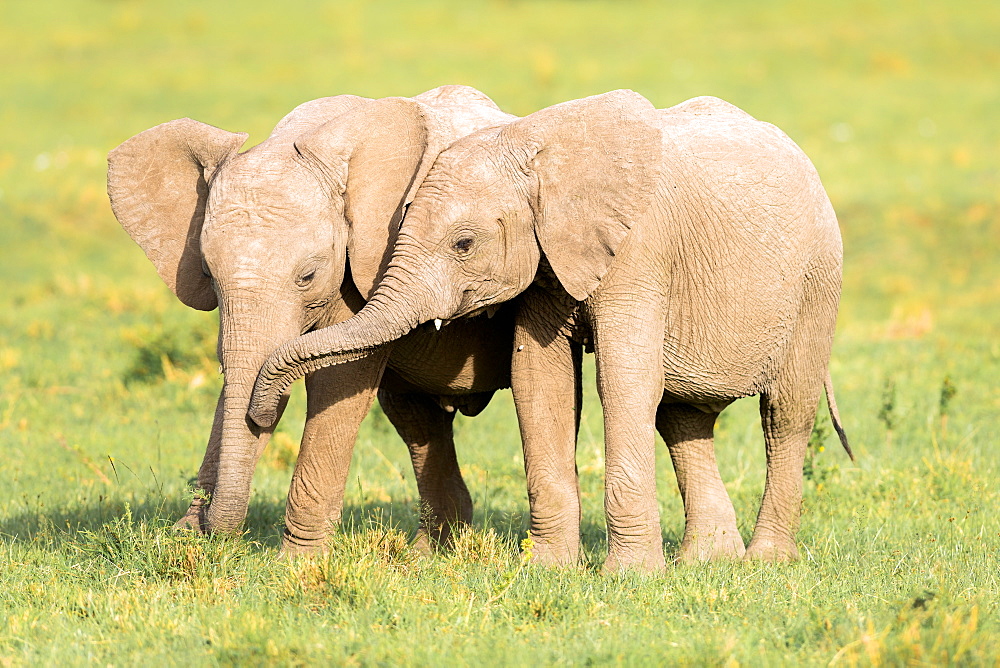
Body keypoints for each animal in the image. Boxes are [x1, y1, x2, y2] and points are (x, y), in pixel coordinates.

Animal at [105, 85, 520, 552]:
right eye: (209, 275)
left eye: (308, 276)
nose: (209, 526)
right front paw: (186, 538)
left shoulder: (366, 260)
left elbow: (338, 384)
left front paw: (297, 558)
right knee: (415, 415)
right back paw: (429, 553)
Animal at [248, 87, 852, 568]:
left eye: (464, 244)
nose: (261, 412)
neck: (533, 145)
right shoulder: (546, 262)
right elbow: (542, 380)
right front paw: (551, 571)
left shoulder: (639, 251)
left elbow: (624, 379)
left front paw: (629, 578)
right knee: (683, 418)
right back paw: (708, 562)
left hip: (817, 283)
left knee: (785, 415)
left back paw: (765, 562)